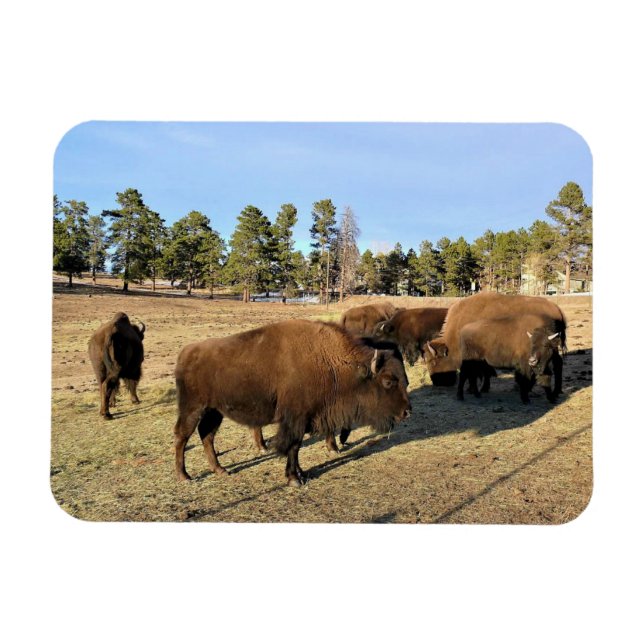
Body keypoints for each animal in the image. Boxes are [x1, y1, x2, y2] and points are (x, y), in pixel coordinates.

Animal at [173, 319, 411, 487]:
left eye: (406, 380)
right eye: (388, 381)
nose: (407, 412)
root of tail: (186, 352)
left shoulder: (307, 417)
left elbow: (296, 448)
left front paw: (301, 473)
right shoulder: (296, 419)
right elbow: (293, 445)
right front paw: (294, 478)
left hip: (215, 410)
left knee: (207, 435)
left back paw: (220, 469)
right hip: (193, 407)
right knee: (183, 436)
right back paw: (184, 476)